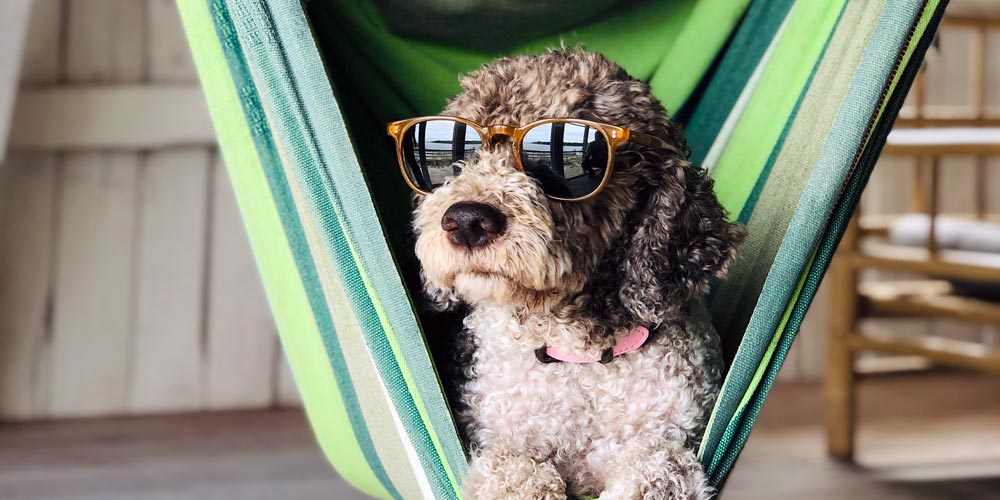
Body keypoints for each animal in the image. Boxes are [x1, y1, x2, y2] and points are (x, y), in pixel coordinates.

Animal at [400, 47, 744, 500]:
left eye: (565, 162)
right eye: (462, 158)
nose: (467, 220)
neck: (577, 359)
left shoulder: (668, 448)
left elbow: (655, 470)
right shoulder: (497, 444)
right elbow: (516, 472)